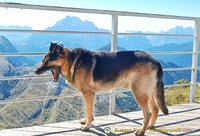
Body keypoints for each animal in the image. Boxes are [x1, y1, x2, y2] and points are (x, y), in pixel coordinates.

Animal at [35, 42, 168, 135]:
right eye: (43, 60)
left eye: (47, 61)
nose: (36, 71)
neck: (73, 61)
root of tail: (156, 61)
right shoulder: (89, 95)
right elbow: (87, 110)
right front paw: (86, 121)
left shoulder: (88, 94)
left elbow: (88, 111)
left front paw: (87, 126)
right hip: (148, 93)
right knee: (155, 109)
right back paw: (150, 126)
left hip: (139, 93)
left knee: (148, 113)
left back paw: (141, 131)